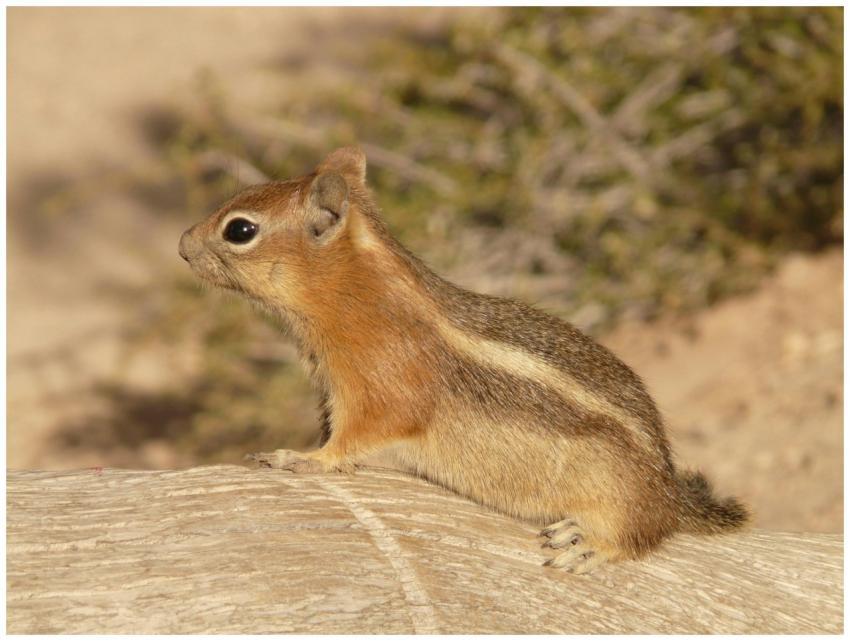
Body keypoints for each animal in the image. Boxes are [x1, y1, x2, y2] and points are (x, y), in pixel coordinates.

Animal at [179, 146, 749, 573]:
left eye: (240, 230)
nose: (182, 245)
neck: (358, 296)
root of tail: (669, 489)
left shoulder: (380, 392)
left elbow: (352, 439)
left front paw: (299, 458)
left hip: (620, 495)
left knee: (645, 534)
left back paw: (590, 544)